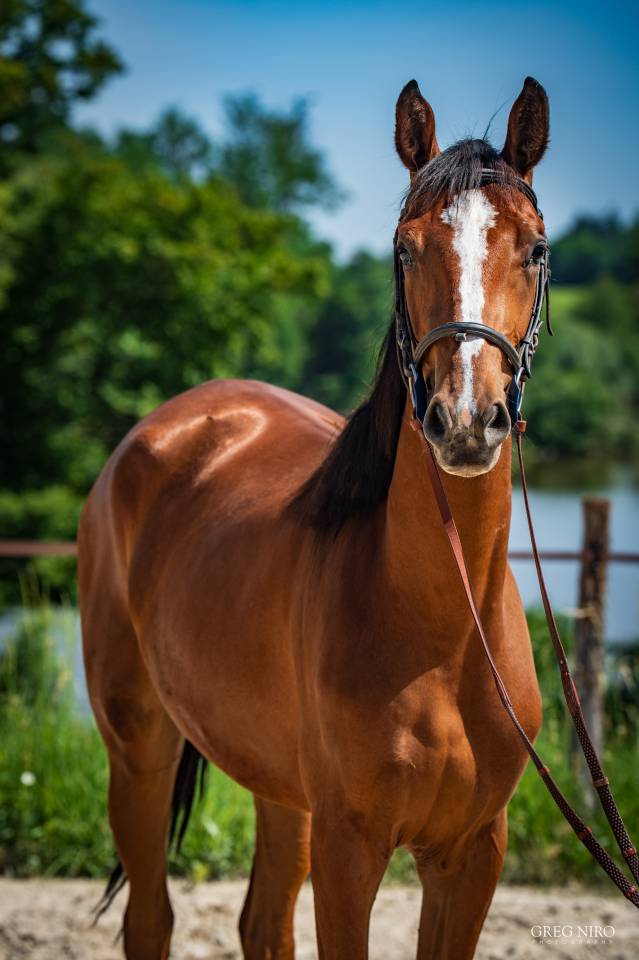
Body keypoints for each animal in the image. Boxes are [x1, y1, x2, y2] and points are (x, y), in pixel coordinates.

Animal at [79, 75, 551, 960]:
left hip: (278, 785)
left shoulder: (473, 853)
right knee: (150, 918)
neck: (444, 632)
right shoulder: (348, 847)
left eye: (535, 249)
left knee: (261, 924)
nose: (466, 421)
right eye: (403, 249)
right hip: (139, 746)